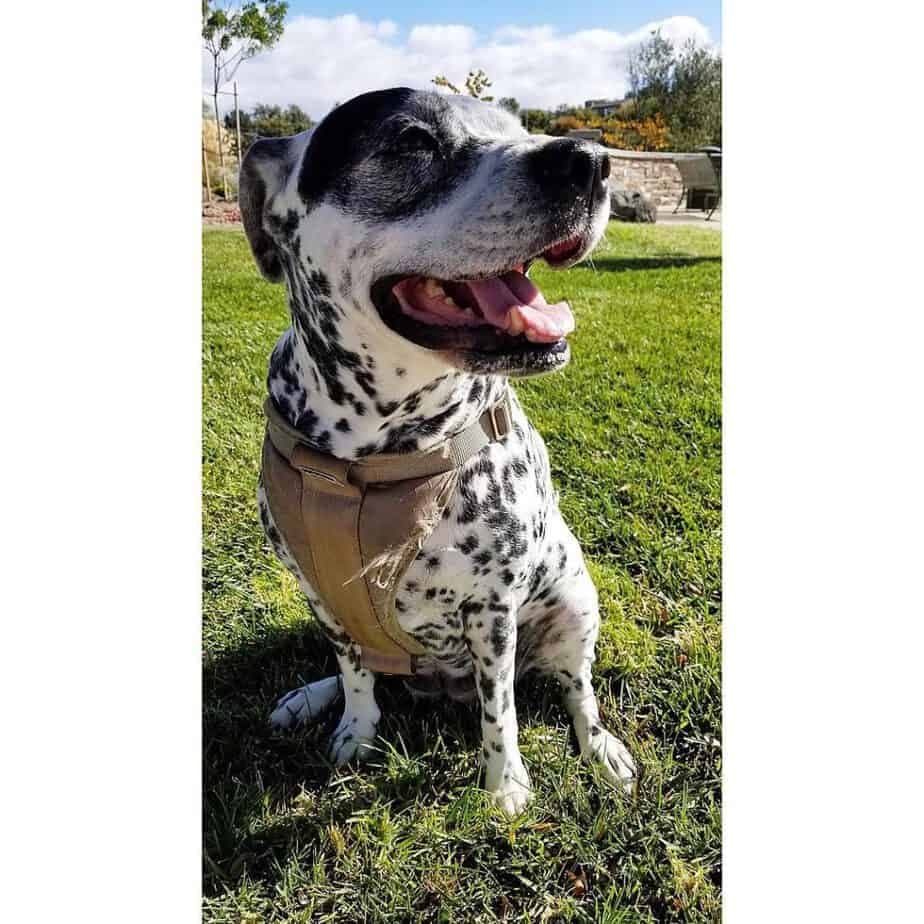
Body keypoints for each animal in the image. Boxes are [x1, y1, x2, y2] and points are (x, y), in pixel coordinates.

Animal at [240, 88, 636, 816]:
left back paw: (602, 747)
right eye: (412, 142)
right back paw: (310, 696)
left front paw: (505, 784)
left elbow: (500, 711)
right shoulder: (319, 592)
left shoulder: (493, 610)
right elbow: (354, 672)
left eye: (517, 128)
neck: (373, 447)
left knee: (578, 692)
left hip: (574, 605)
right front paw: (355, 729)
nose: (592, 161)